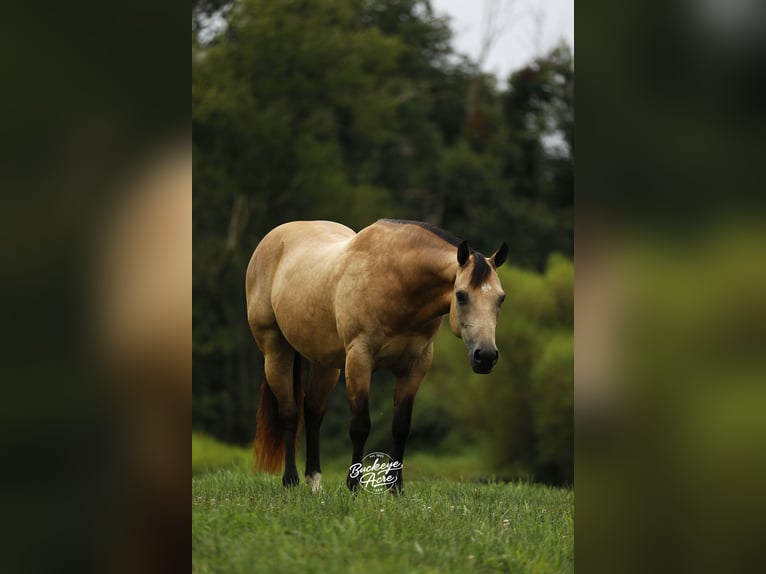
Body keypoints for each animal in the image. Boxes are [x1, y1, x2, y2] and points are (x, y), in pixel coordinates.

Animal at [245, 218, 507, 492]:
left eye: (500, 298)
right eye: (461, 295)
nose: (485, 356)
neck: (397, 281)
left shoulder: (415, 367)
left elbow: (401, 427)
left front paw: (396, 488)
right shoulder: (359, 360)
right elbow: (360, 425)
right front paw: (353, 486)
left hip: (325, 363)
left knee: (313, 412)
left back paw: (314, 481)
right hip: (276, 350)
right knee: (289, 411)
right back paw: (291, 481)